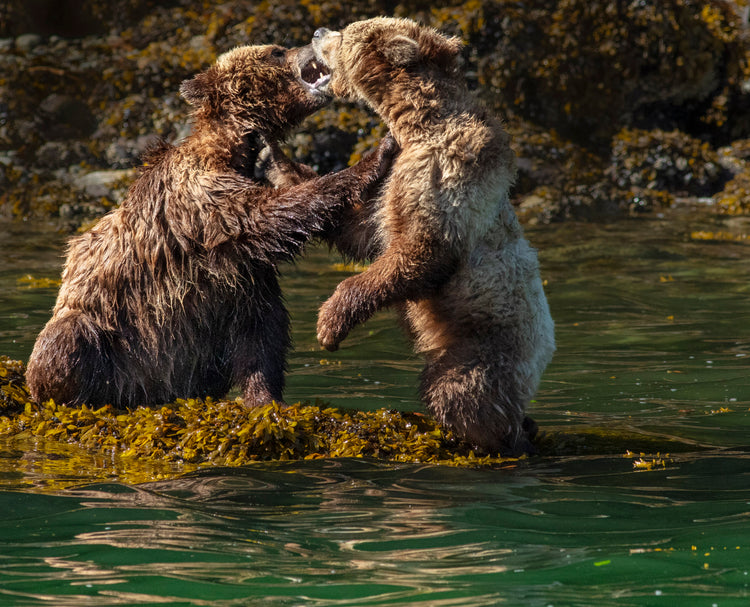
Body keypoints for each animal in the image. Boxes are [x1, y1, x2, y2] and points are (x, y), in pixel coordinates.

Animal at [25, 42, 396, 409]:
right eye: (276, 51)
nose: (309, 43)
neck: (233, 150)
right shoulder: (202, 201)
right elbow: (265, 215)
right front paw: (376, 155)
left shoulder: (238, 273)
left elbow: (261, 330)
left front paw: (263, 397)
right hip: (108, 329)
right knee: (67, 340)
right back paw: (74, 398)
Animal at [310, 18, 555, 455]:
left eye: (346, 32)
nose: (319, 32)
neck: (417, 121)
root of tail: (545, 356)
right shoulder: (397, 179)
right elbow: (366, 233)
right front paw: (278, 164)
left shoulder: (443, 170)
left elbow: (422, 250)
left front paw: (329, 325)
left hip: (488, 341)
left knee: (460, 390)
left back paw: (500, 438)